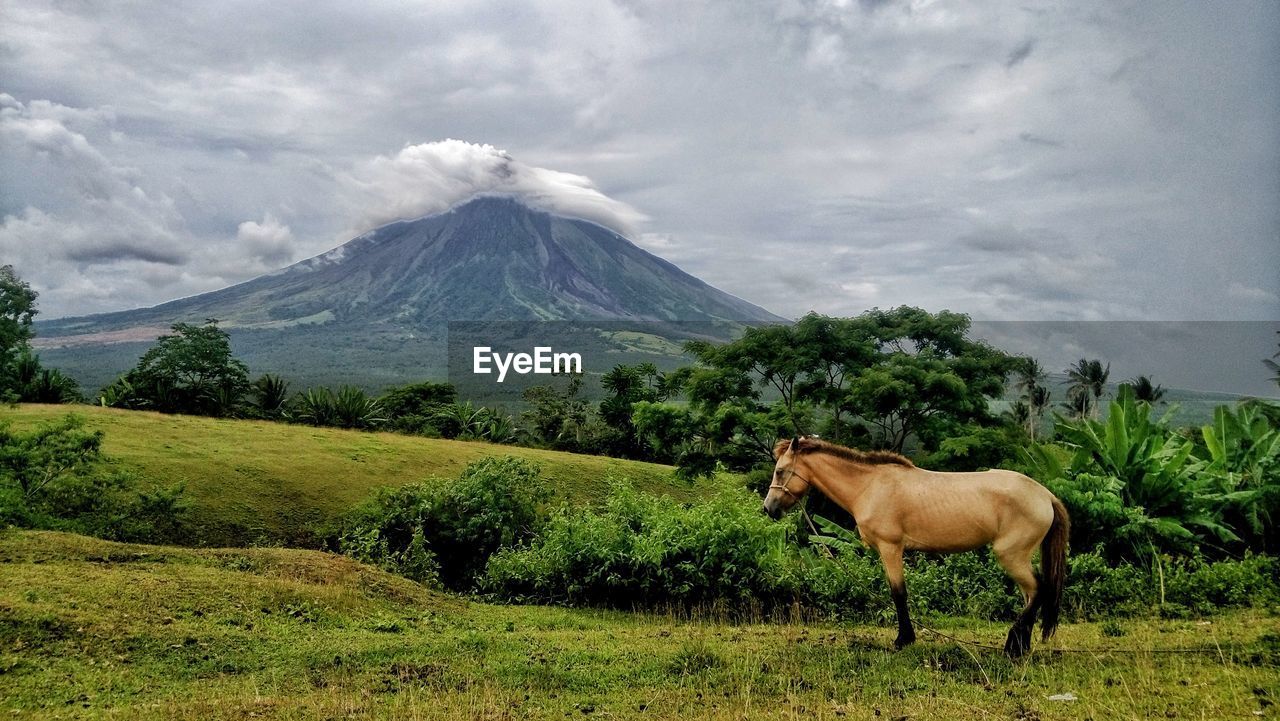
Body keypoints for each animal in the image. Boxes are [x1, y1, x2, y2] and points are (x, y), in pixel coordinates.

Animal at [762, 437, 1064, 655]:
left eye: (780, 471)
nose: (768, 508)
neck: (870, 486)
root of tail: (1045, 495)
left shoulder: (891, 548)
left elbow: (898, 593)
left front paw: (903, 639)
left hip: (1011, 555)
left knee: (1038, 590)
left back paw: (1013, 645)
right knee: (1031, 595)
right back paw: (1021, 645)